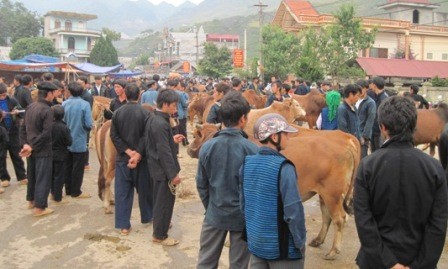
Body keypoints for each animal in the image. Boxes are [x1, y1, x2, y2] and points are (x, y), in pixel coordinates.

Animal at [188, 123, 360, 260]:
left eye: (195, 136)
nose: (189, 148)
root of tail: (347, 140)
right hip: (325, 195)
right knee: (327, 217)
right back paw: (318, 240)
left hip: (333, 195)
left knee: (339, 219)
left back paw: (333, 251)